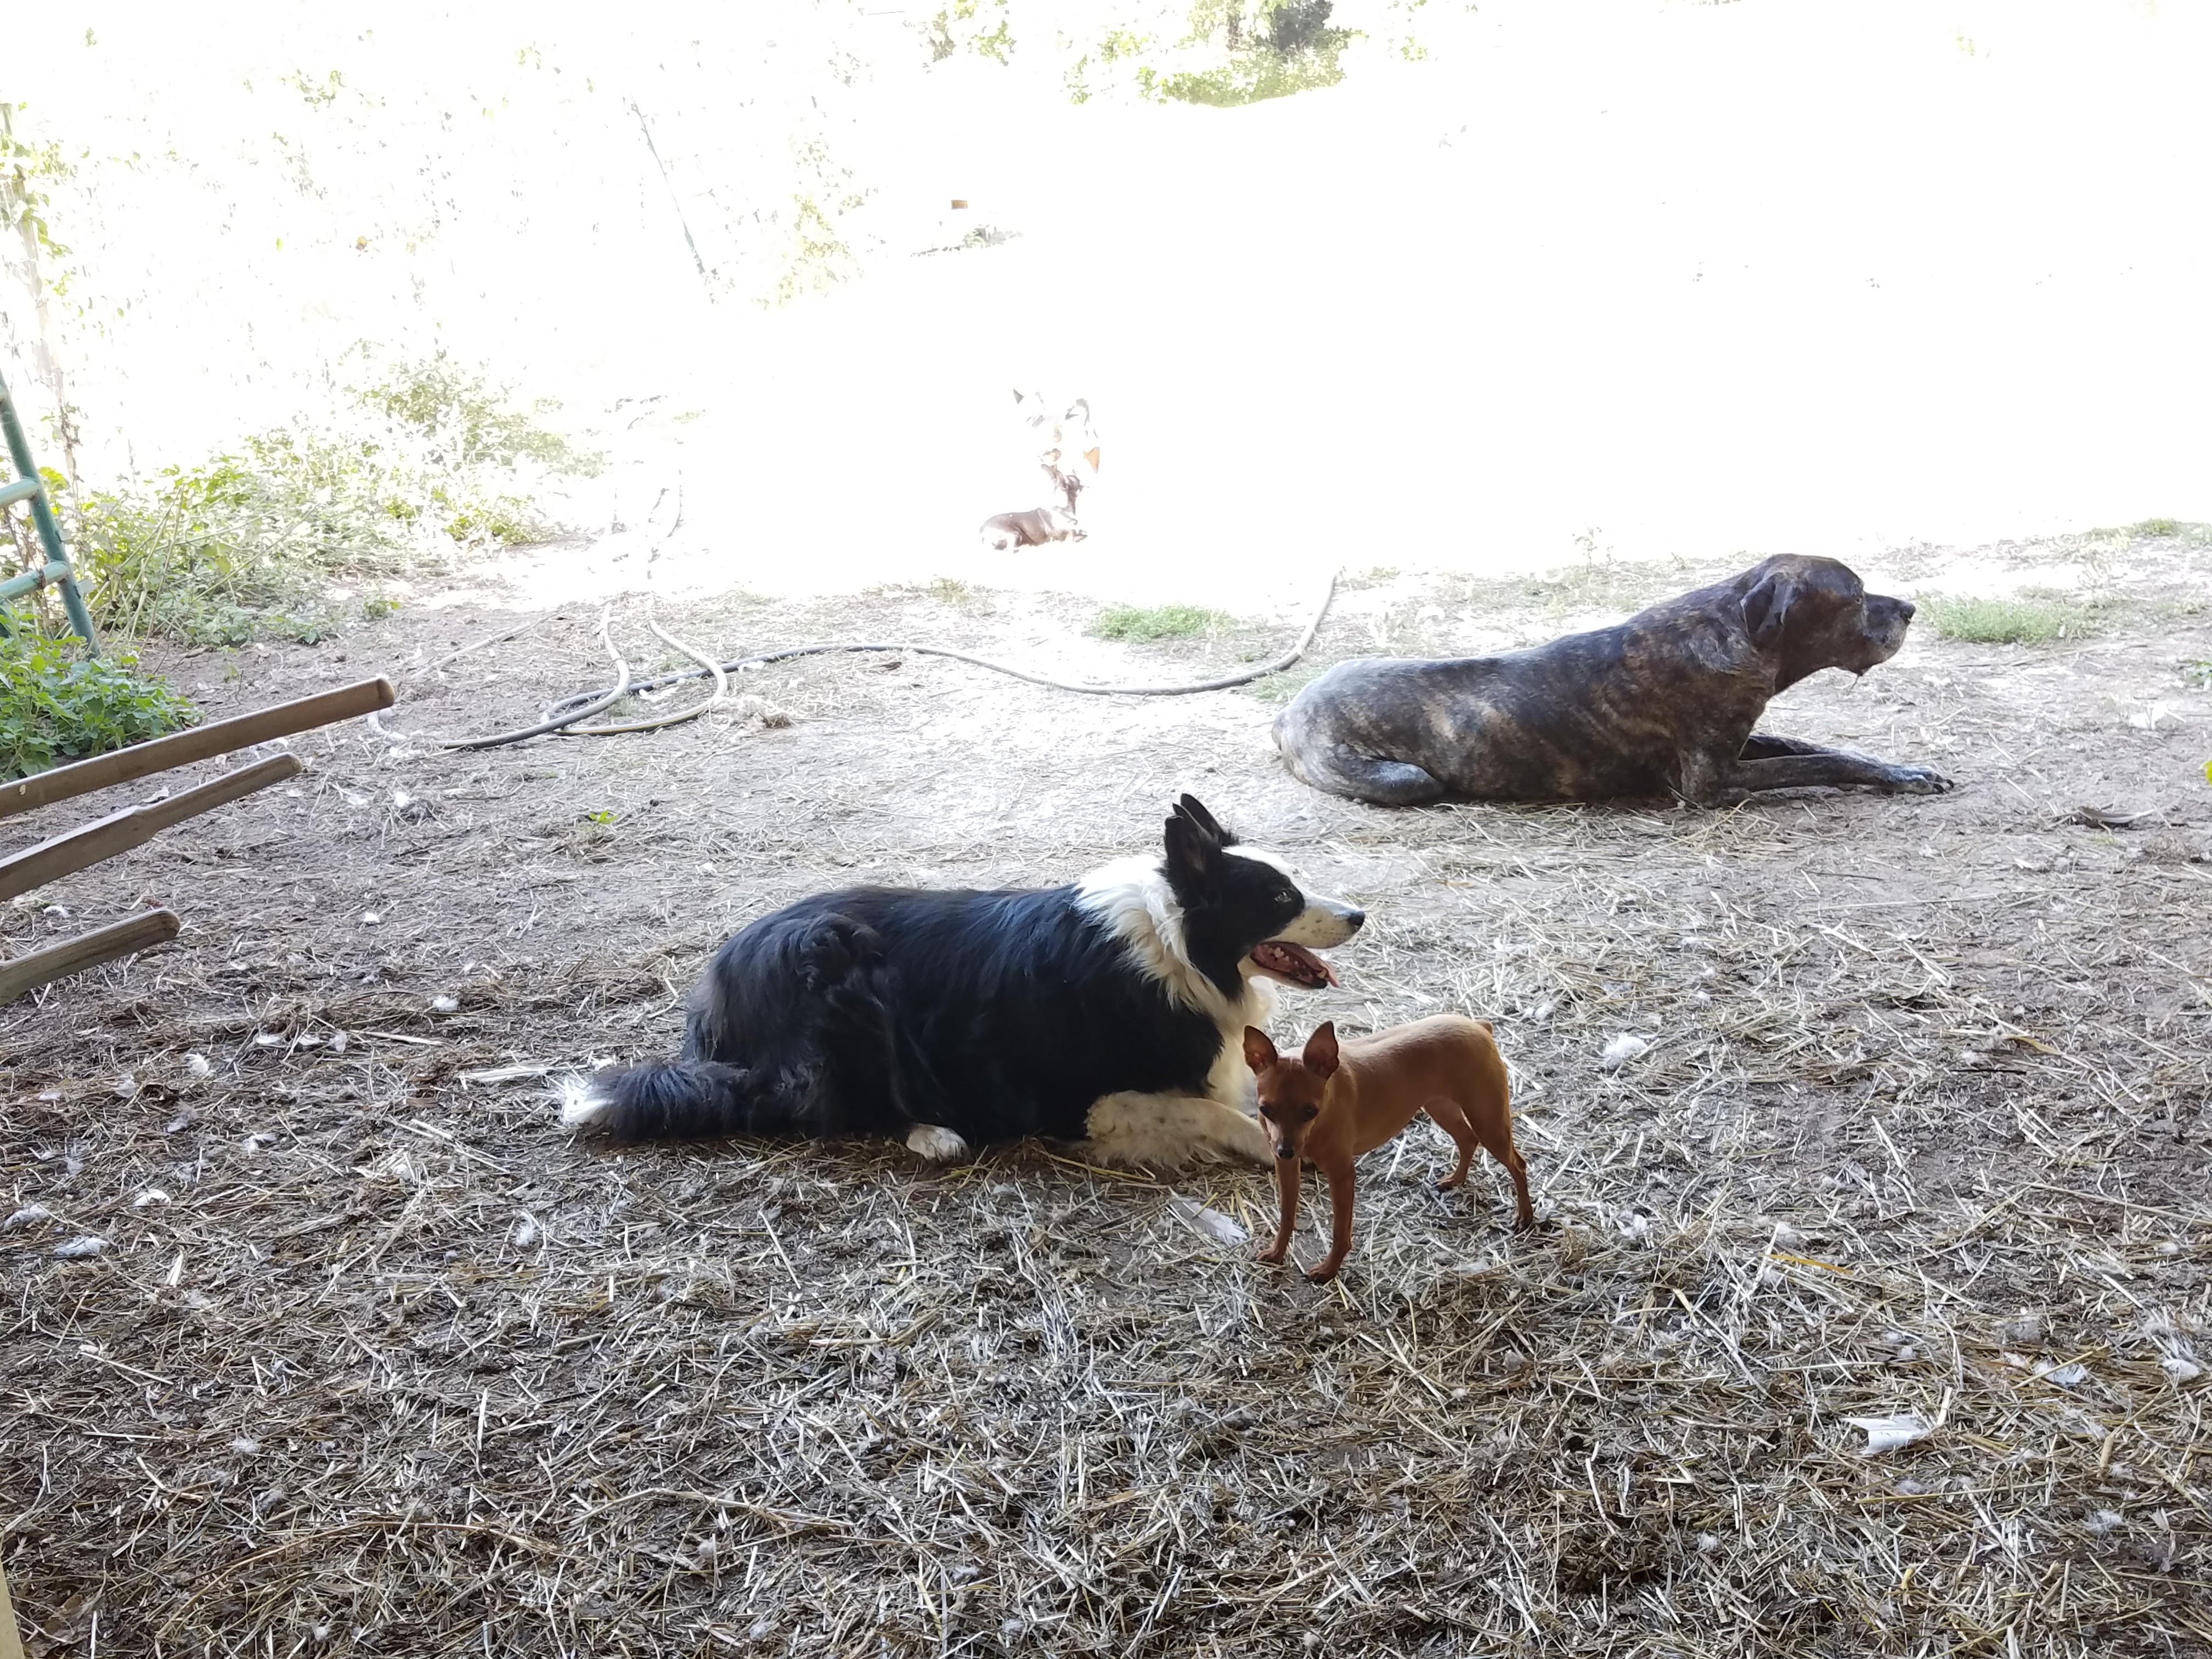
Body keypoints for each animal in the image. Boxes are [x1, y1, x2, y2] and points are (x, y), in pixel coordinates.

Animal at [561, 796, 1364, 1169]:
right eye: (1280, 898)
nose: (1360, 914)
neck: (1174, 951)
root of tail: (721, 976)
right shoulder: (1090, 1104)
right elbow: (1215, 1115)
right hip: (846, 976)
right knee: (828, 1106)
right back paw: (932, 1133)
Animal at [1244, 1016, 1533, 1282]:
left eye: (1309, 1112)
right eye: (1266, 1110)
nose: (1285, 1150)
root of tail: (1479, 1026)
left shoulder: (1342, 1176)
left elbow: (1340, 1231)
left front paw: (1329, 1270)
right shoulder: (1287, 1168)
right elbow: (1286, 1216)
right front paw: (1277, 1252)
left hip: (1489, 1124)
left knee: (1518, 1164)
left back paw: (1524, 1216)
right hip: (1441, 1108)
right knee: (1468, 1140)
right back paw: (1456, 1180)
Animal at [1273, 555, 1954, 807]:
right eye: (1857, 596)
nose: (1911, 608)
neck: (1734, 628)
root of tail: (1288, 711)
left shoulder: (1739, 739)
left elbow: (1819, 747)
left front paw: (1904, 770)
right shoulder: (1709, 780)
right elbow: (1817, 762)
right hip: (1407, 780)